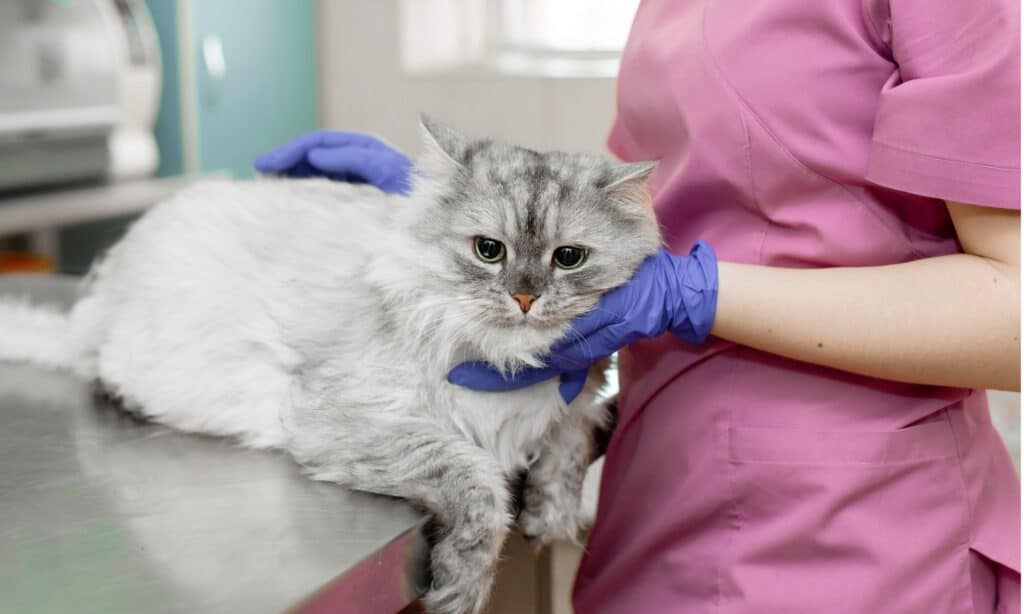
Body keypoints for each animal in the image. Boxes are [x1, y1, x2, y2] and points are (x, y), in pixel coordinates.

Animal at [0, 117, 659, 609]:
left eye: (568, 258)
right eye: (488, 251)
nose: (525, 298)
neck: (507, 361)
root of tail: (100, 298)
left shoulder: (579, 395)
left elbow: (565, 451)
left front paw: (551, 518)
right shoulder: (350, 422)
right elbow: (480, 485)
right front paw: (461, 588)